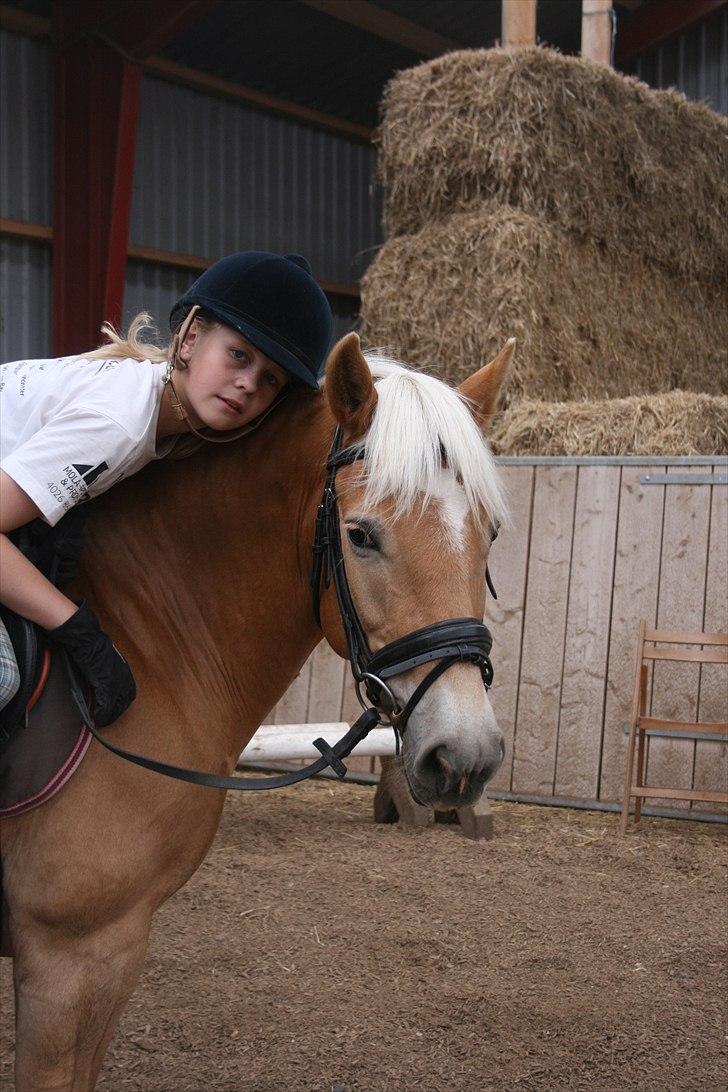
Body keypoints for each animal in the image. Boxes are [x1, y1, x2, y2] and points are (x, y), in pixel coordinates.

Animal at [0, 327, 512, 1087]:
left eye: (490, 533)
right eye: (361, 535)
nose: (465, 756)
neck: (140, 634)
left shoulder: (107, 953)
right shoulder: (72, 953)